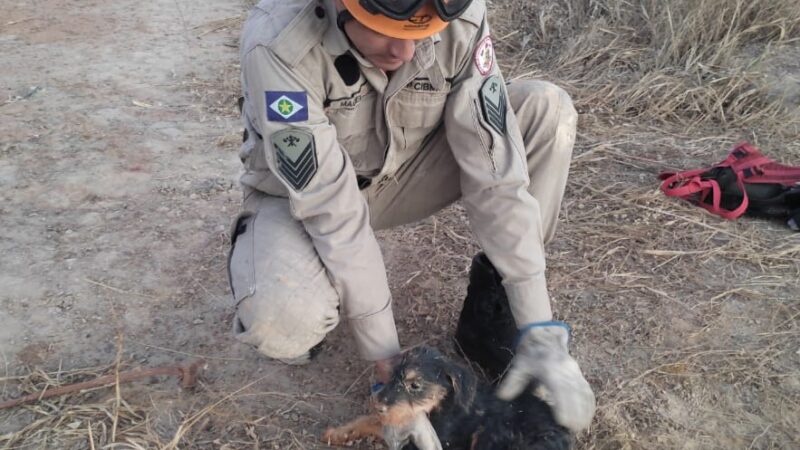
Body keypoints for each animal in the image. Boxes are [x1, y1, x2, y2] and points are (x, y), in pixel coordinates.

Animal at [322, 348, 572, 450]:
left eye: (415, 385)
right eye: (392, 377)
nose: (377, 404)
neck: (443, 405)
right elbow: (370, 421)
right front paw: (338, 433)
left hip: (492, 435)